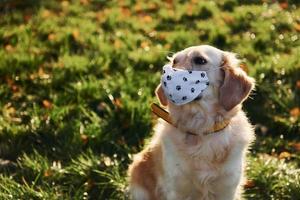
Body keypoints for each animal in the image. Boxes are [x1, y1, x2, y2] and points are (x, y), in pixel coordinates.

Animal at [127, 45, 255, 200]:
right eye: (174, 61)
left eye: (200, 60)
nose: (165, 78)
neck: (200, 130)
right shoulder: (176, 189)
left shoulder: (227, 188)